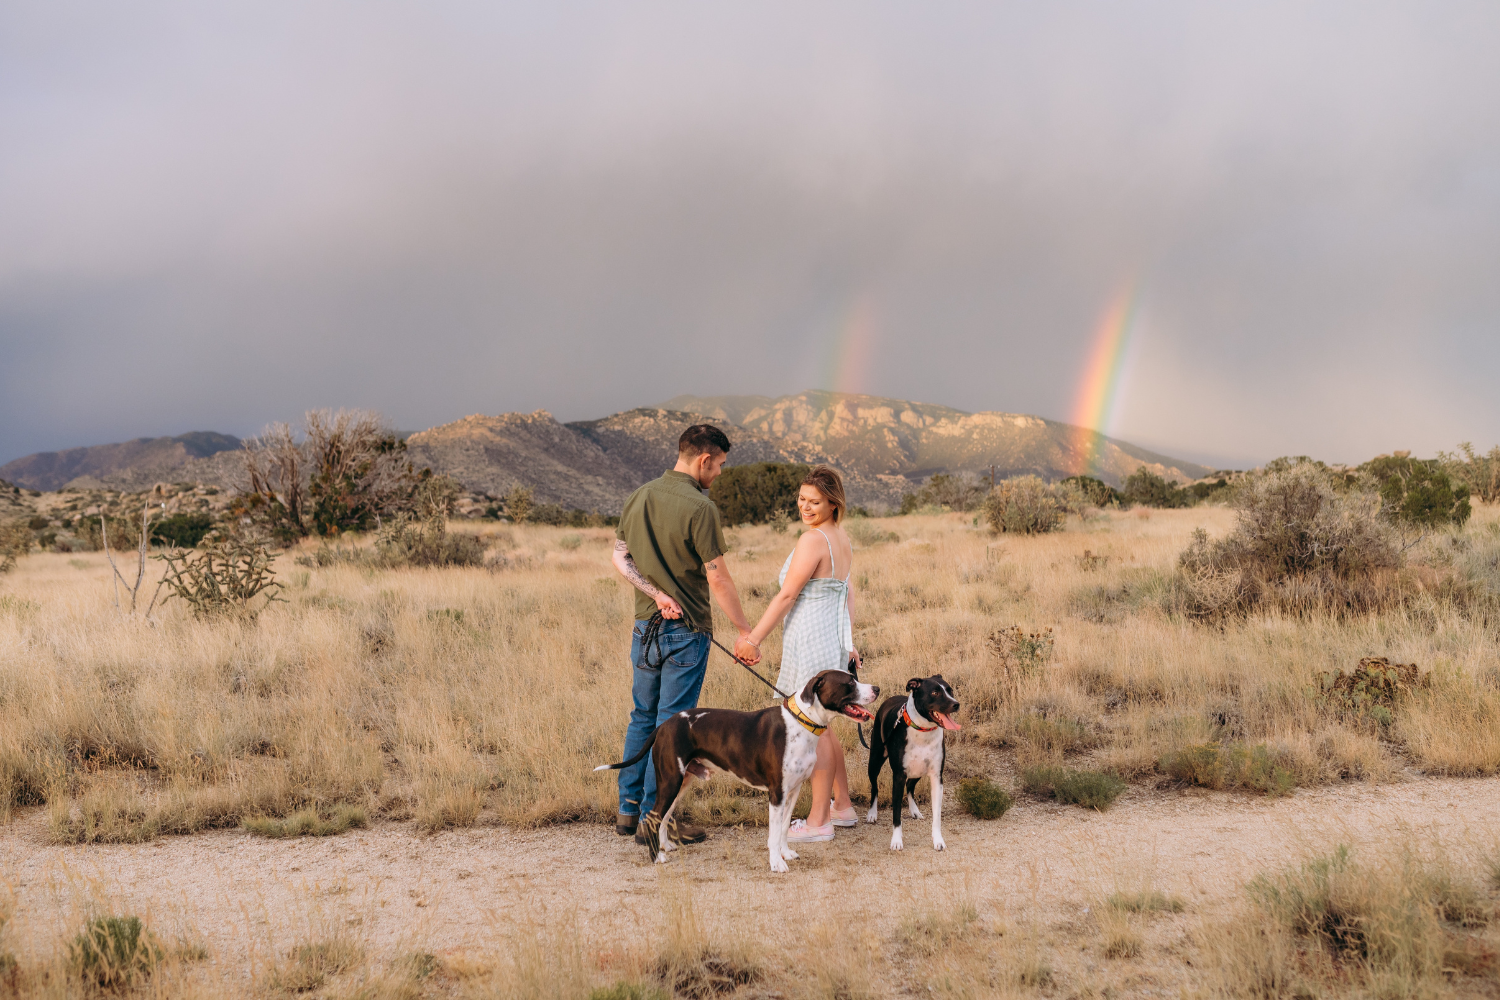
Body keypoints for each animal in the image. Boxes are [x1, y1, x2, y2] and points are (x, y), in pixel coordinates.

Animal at [870, 677, 960, 851]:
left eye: (950, 690)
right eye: (935, 692)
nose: (956, 704)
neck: (923, 731)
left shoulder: (936, 777)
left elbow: (937, 816)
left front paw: (938, 840)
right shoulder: (898, 776)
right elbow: (896, 814)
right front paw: (896, 841)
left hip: (918, 770)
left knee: (910, 786)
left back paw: (914, 810)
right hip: (875, 761)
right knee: (875, 787)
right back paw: (872, 813)